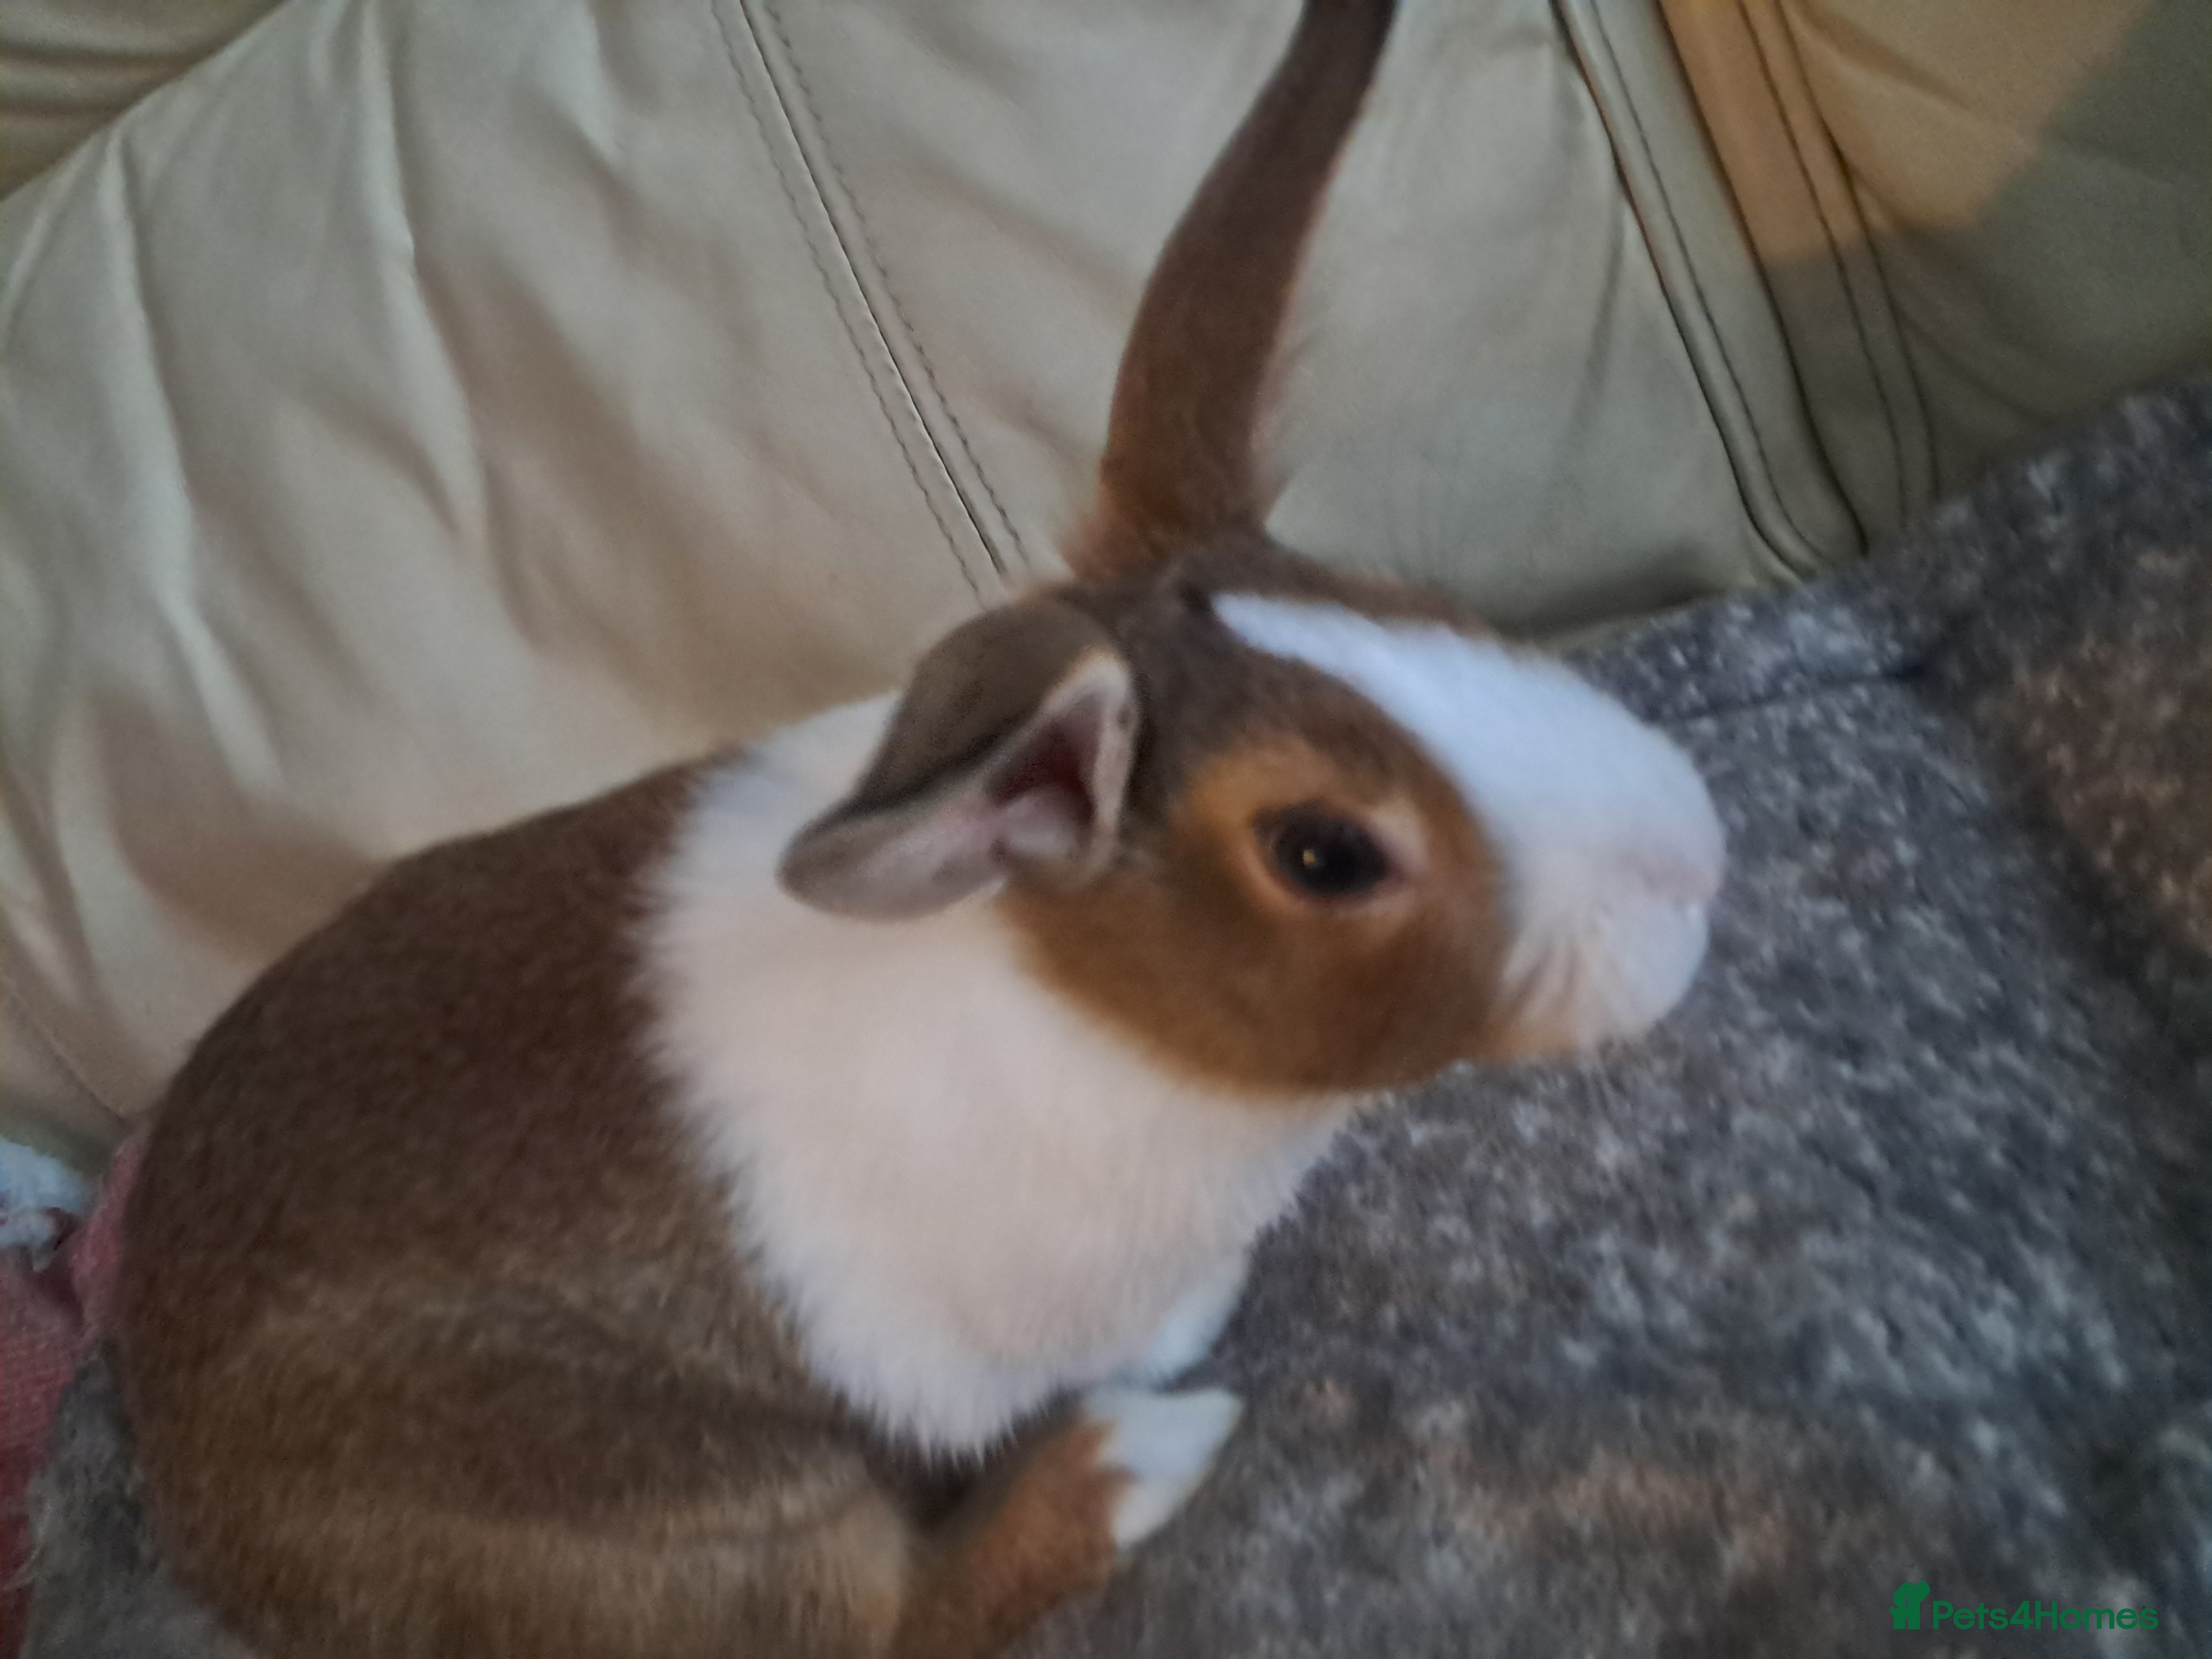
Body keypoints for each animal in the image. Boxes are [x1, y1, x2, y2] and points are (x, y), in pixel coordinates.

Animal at [112, 1, 1726, 1655]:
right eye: (1322, 853)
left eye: (1417, 602)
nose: (1698, 856)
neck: (1092, 1007)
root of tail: (198, 1517)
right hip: (714, 1510)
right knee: (891, 1613)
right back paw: (1135, 1454)